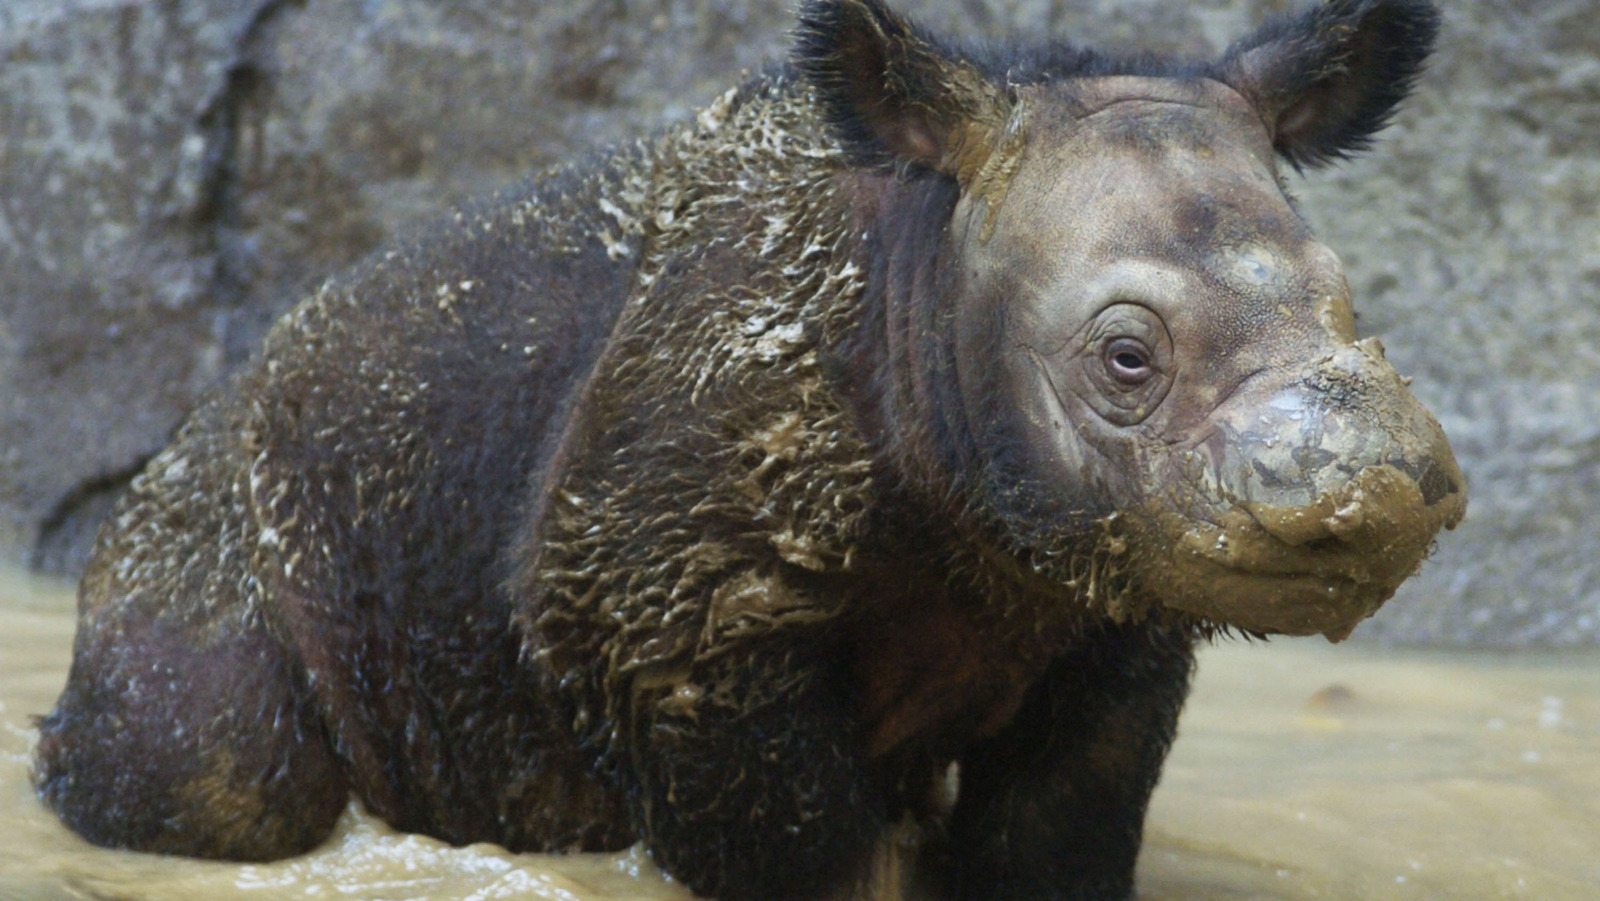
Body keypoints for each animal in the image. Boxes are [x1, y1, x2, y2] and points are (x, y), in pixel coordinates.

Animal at [35, 0, 1463, 899]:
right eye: (1124, 360)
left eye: (1352, 307)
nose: (1382, 492)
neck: (925, 266)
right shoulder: (665, 618)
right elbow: (814, 855)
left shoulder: (1109, 593)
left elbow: (1050, 839)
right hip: (214, 524)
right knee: (222, 773)